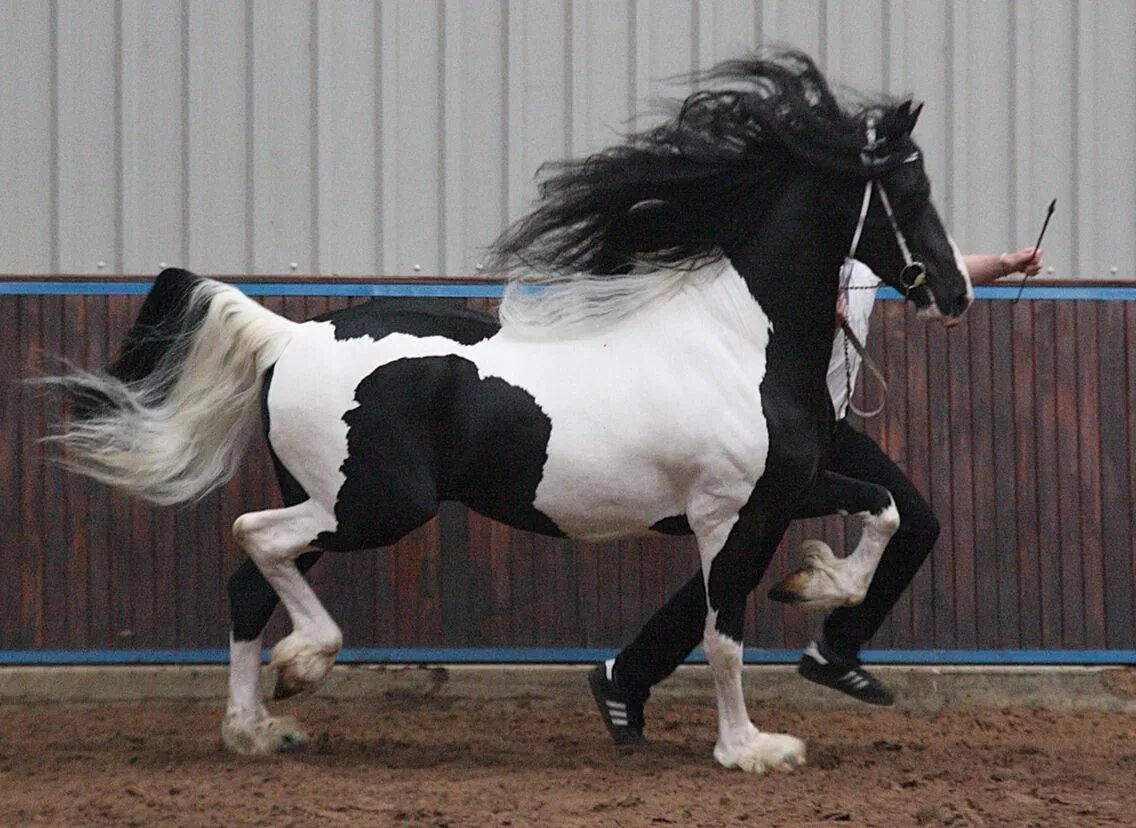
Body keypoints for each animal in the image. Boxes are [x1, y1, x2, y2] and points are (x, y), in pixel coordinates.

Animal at [48, 53, 972, 776]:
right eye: (909, 188)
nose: (956, 291)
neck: (742, 340)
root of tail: (291, 334)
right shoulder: (726, 516)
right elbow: (724, 633)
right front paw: (751, 748)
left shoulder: (785, 492)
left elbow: (884, 509)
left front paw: (813, 581)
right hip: (375, 505)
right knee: (253, 538)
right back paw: (302, 666)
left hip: (328, 501)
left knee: (249, 580)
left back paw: (259, 729)